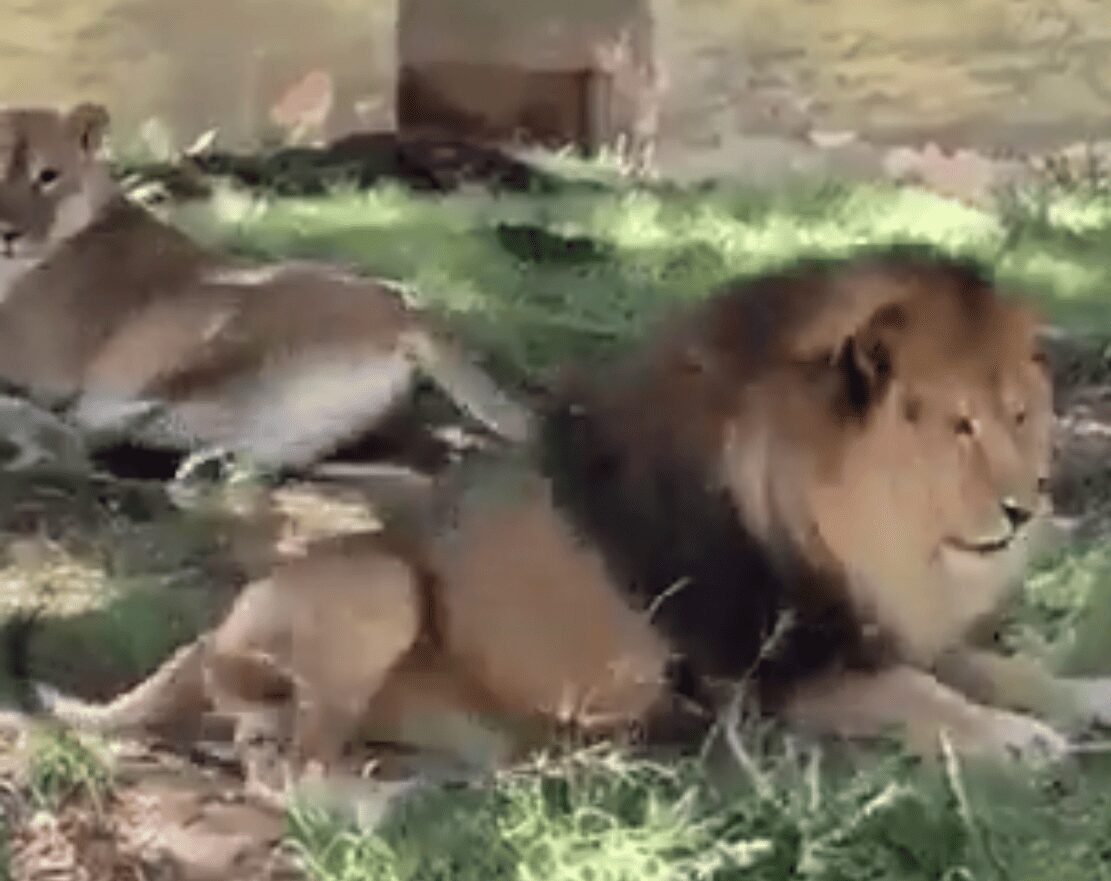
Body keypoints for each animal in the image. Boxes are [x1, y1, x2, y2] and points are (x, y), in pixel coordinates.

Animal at [0, 103, 531, 475]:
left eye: (48, 175)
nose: (8, 232)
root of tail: (407, 309)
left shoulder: (42, 365)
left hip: (203, 327)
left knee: (102, 426)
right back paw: (201, 467)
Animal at [10, 246, 1111, 801]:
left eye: (1021, 412)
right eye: (956, 425)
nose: (1028, 503)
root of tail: (211, 632)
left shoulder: (865, 621)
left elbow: (992, 663)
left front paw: (1078, 693)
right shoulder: (781, 669)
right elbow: (929, 696)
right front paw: (1015, 738)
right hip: (374, 585)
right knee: (274, 763)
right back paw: (378, 807)